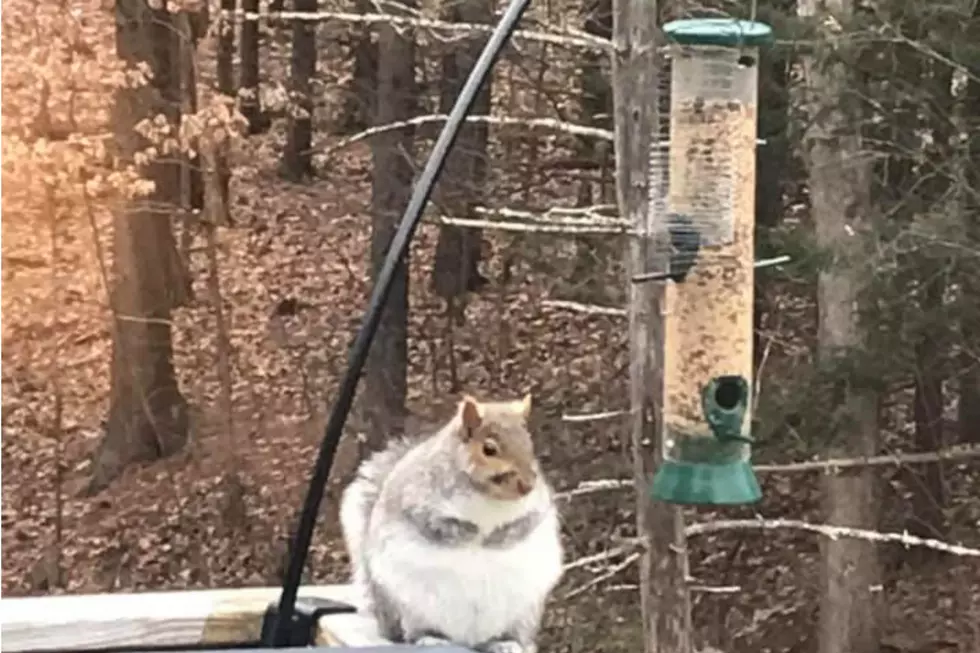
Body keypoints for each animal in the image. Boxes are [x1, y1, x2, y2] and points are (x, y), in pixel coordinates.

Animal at [340, 392, 564, 652]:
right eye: (489, 449)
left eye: (529, 445)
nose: (527, 485)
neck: (487, 499)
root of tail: (469, 639)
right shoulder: (418, 499)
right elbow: (438, 524)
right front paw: (470, 532)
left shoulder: (537, 506)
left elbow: (526, 523)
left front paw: (499, 536)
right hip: (408, 607)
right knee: (414, 632)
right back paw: (431, 638)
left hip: (523, 614)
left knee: (507, 635)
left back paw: (505, 643)